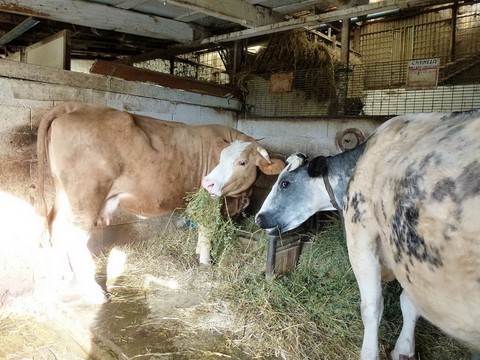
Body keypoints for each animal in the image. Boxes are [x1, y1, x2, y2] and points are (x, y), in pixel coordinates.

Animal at [38, 102, 284, 304]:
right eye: (220, 159)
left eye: (242, 162)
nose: (208, 181)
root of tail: (77, 107)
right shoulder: (209, 200)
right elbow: (207, 228)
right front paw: (205, 260)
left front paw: (197, 251)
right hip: (84, 199)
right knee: (74, 239)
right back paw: (93, 293)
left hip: (65, 197)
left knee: (57, 230)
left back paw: (64, 276)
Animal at [255, 111, 480, 358]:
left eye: (285, 183)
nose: (258, 218)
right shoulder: (407, 259)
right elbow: (408, 302)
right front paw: (403, 349)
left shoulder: (361, 236)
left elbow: (371, 306)